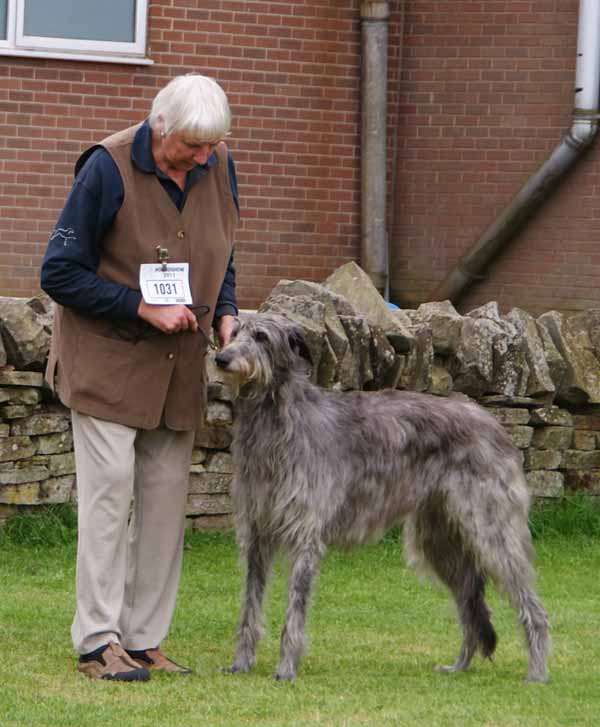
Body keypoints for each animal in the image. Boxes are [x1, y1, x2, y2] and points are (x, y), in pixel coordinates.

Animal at [216, 312, 548, 684]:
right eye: (234, 332)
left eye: (261, 336)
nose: (221, 358)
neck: (277, 422)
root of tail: (496, 425)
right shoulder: (257, 534)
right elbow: (249, 605)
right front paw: (241, 663)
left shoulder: (305, 534)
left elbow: (295, 609)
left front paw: (286, 668)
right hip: (439, 541)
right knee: (469, 602)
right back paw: (458, 666)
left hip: (492, 531)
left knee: (531, 606)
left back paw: (537, 672)